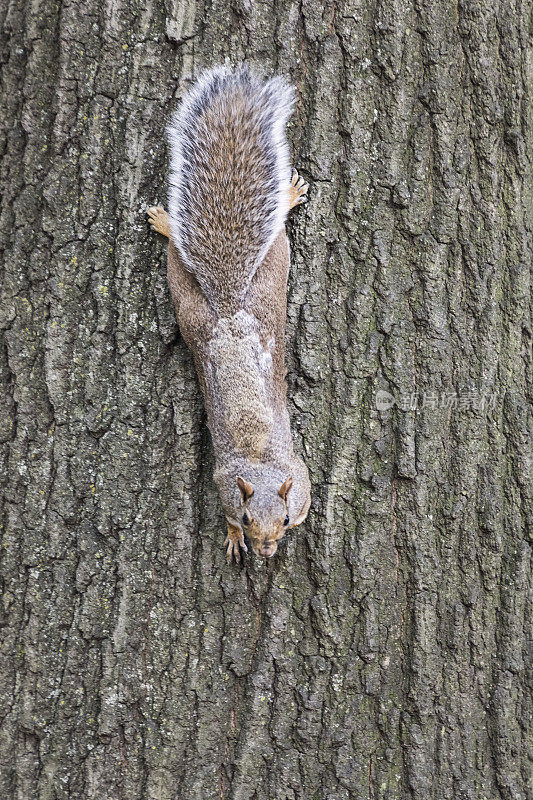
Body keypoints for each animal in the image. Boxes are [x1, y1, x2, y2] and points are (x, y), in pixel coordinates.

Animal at [148, 64, 310, 564]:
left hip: (267, 273)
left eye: (284, 519)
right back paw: (168, 223)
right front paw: (235, 539)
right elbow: (223, 514)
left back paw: (287, 196)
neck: (258, 465)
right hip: (193, 303)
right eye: (245, 515)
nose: (267, 551)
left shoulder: (300, 478)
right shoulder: (223, 487)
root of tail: (229, 308)